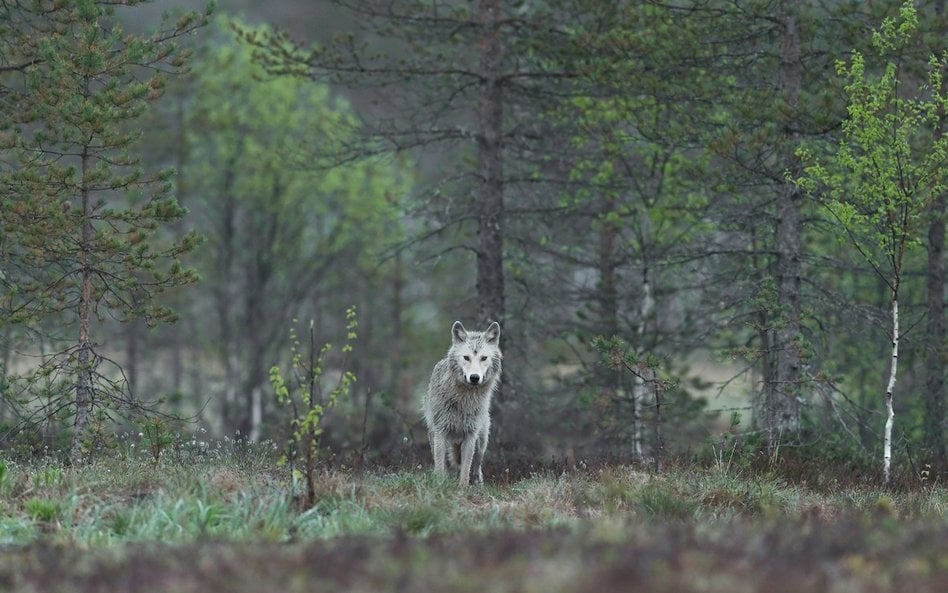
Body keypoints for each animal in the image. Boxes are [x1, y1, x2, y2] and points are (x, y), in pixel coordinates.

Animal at [424, 320, 504, 486]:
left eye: (484, 358)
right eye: (466, 358)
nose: (474, 377)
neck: (464, 400)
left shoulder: (470, 436)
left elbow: (466, 469)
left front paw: (462, 488)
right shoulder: (440, 432)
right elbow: (440, 467)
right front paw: (439, 486)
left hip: (481, 443)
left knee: (476, 467)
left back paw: (478, 484)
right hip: (434, 437)